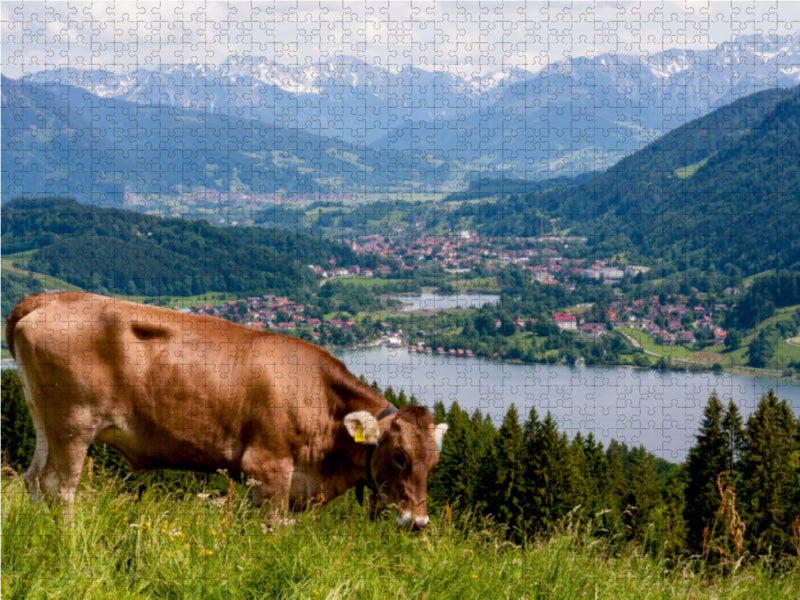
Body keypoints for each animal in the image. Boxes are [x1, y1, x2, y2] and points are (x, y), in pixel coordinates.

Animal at [4, 292, 444, 528]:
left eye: (434, 461)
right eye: (400, 456)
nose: (419, 524)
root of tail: (50, 298)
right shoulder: (267, 468)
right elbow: (271, 530)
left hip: (42, 417)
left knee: (33, 478)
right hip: (73, 422)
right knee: (59, 486)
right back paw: (66, 540)